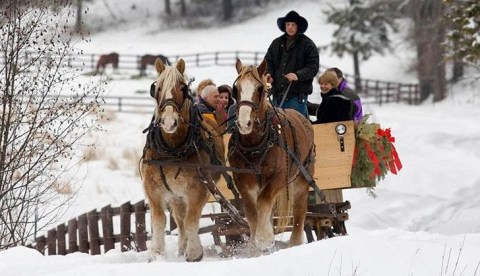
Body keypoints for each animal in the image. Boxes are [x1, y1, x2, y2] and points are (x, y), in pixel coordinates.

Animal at [141, 57, 225, 260]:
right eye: (158, 88)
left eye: (182, 88)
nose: (168, 122)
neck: (172, 151)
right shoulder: (152, 188)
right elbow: (159, 220)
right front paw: (156, 252)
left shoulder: (199, 189)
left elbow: (191, 220)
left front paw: (194, 253)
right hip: (175, 194)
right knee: (179, 218)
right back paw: (181, 248)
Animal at [228, 58, 316, 252]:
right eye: (236, 89)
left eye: (260, 89)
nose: (244, 123)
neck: (255, 144)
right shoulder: (243, 180)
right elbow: (252, 211)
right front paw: (255, 246)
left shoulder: (278, 177)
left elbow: (263, 202)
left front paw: (264, 238)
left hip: (302, 178)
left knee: (299, 211)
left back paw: (294, 243)